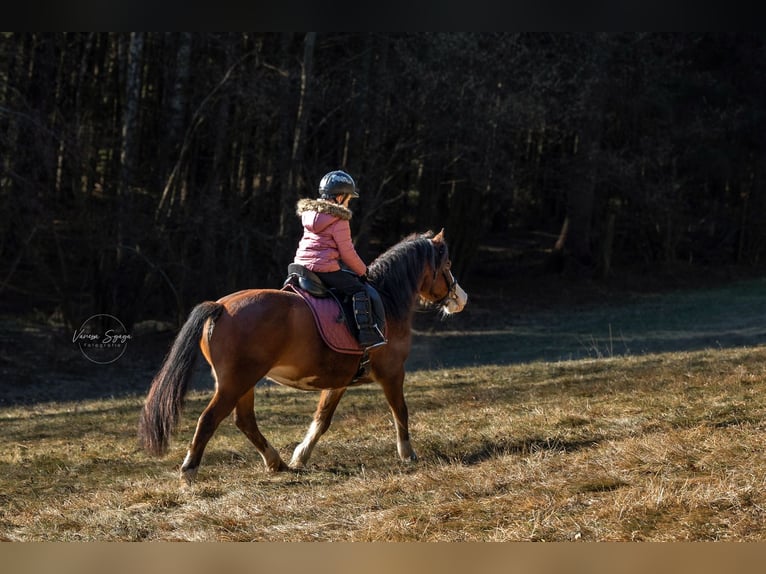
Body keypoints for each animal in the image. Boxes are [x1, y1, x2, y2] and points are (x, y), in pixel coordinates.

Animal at [141, 230, 472, 486]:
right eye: (447, 264)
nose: (461, 299)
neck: (387, 301)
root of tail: (221, 306)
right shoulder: (392, 372)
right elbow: (400, 411)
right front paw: (408, 454)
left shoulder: (339, 381)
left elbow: (322, 419)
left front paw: (300, 456)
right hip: (235, 382)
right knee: (209, 420)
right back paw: (189, 472)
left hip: (242, 382)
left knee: (244, 421)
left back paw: (276, 462)